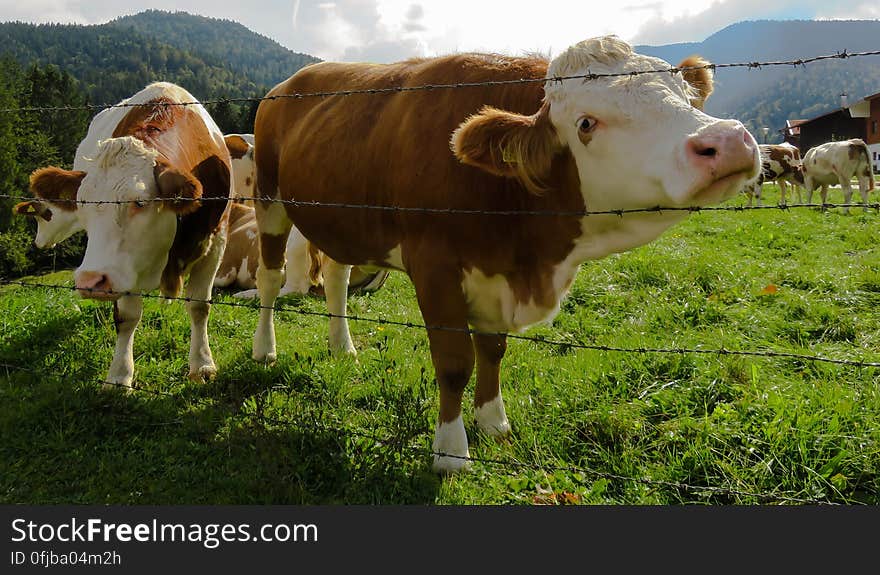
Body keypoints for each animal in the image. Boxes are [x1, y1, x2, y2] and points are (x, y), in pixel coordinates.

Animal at [29, 81, 232, 388]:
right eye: (82, 203)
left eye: (140, 202)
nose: (90, 281)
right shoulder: (123, 265)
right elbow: (126, 316)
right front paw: (119, 375)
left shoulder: (215, 242)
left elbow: (199, 307)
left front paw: (202, 364)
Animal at [251, 36, 760, 472]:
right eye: (586, 124)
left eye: (687, 97)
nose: (727, 140)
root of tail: (288, 83)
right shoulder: (434, 266)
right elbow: (454, 362)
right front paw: (451, 451)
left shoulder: (493, 273)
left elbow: (492, 351)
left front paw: (493, 421)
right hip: (267, 197)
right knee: (270, 278)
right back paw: (264, 349)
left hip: (341, 218)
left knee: (337, 274)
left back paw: (343, 348)